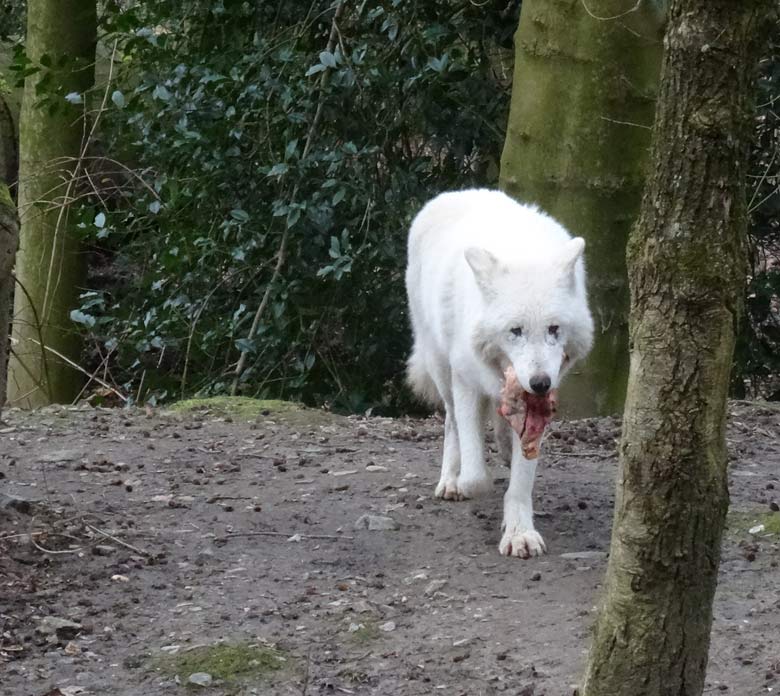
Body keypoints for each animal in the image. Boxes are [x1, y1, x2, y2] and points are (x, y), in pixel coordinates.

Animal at [406, 188, 596, 556]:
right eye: (515, 331)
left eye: (553, 329)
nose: (540, 383)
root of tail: (455, 193)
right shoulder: (465, 380)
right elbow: (476, 477)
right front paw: (469, 483)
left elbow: (520, 483)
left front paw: (519, 532)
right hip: (439, 365)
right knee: (451, 421)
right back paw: (450, 481)